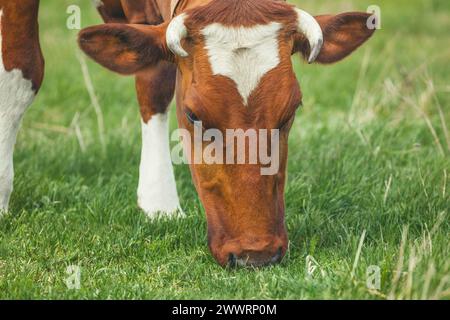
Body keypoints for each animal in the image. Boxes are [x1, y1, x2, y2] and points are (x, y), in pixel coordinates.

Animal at [0, 0, 374, 268]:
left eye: (292, 110)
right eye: (194, 115)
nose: (256, 254)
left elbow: (154, 79)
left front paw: (158, 203)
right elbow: (21, 69)